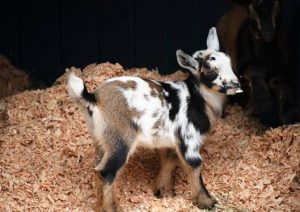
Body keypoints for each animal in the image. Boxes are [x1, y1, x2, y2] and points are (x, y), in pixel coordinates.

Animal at [67, 27, 241, 211]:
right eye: (210, 69)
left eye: (229, 61)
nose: (235, 84)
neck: (198, 99)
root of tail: (94, 98)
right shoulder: (188, 139)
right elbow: (194, 165)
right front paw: (207, 202)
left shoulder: (173, 142)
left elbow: (169, 161)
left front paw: (163, 191)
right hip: (120, 139)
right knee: (106, 172)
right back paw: (110, 208)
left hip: (103, 141)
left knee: (99, 169)